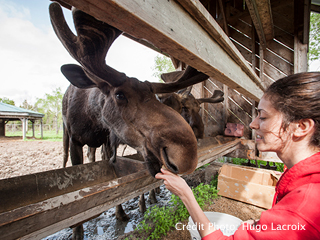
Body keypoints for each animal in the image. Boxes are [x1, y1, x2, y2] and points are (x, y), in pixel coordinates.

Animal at [50, 2, 212, 239]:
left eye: (154, 95)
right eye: (120, 95)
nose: (186, 155)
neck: (92, 118)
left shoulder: (109, 141)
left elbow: (116, 179)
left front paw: (121, 212)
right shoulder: (75, 140)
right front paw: (77, 230)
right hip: (65, 134)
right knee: (65, 160)